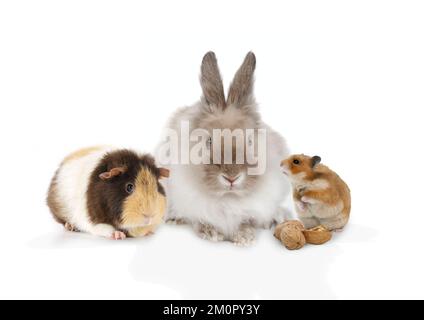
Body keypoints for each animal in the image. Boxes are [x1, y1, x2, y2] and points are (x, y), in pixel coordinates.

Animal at [156, 52, 292, 245]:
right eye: (209, 142)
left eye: (250, 141)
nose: (231, 178)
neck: (227, 198)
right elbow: (200, 219)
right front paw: (211, 234)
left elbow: (246, 220)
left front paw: (245, 237)